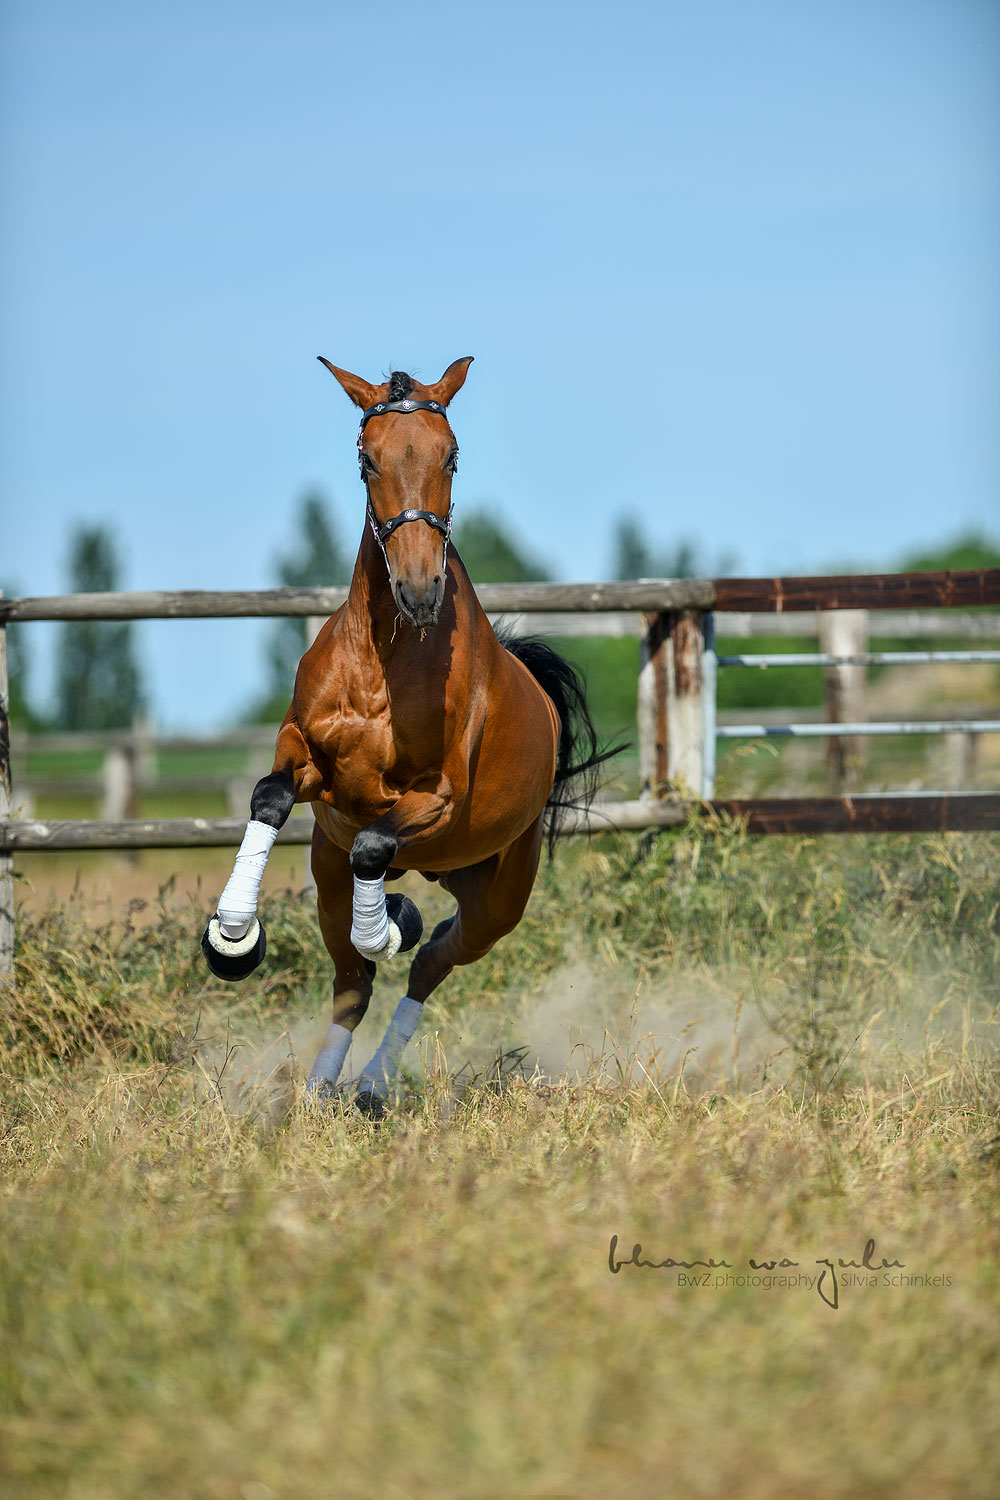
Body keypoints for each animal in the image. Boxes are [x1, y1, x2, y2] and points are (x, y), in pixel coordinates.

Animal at [203, 357, 611, 1116]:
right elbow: (270, 796)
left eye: (452, 455)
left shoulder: (438, 800)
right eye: (367, 460)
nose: (420, 592)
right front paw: (232, 938)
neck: (388, 661)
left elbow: (376, 844)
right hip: (329, 870)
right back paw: (318, 1090)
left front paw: (384, 927)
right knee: (352, 985)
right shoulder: (308, 759)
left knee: (428, 964)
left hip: (495, 900)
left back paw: (371, 1079)